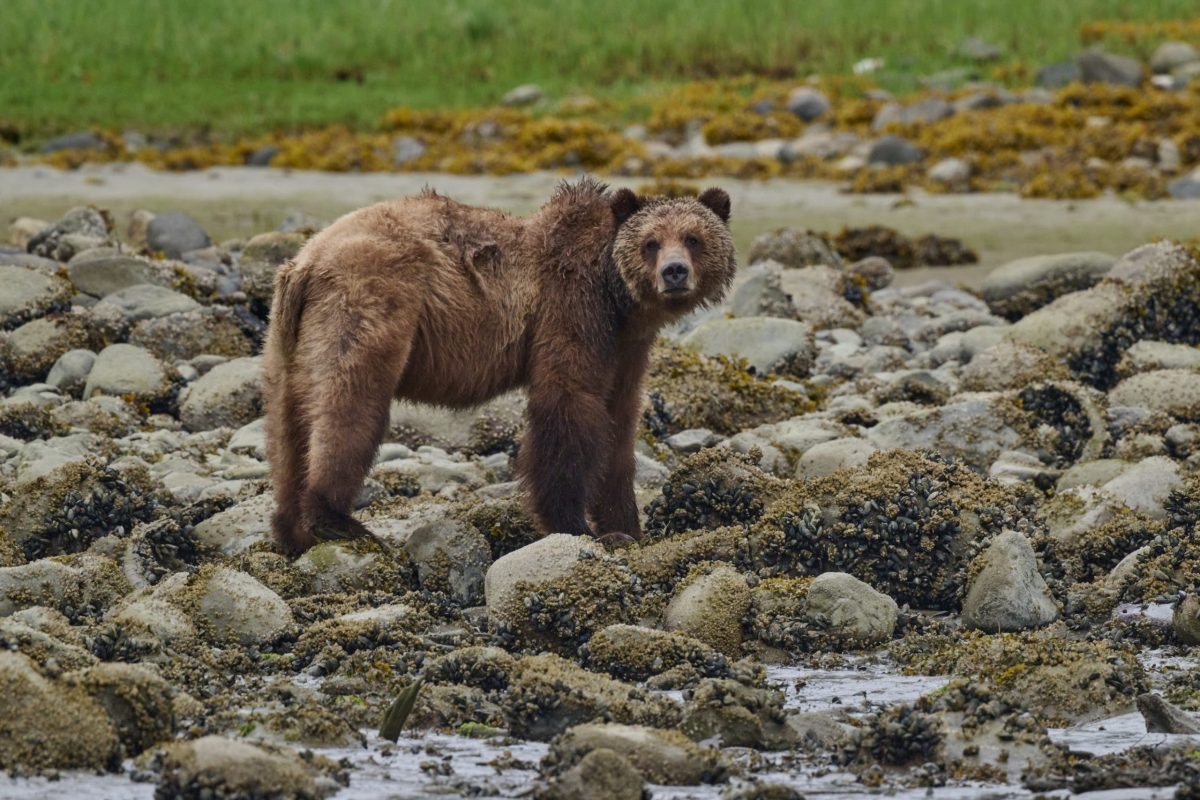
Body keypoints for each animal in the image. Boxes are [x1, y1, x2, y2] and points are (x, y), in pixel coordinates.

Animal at [263, 178, 736, 555]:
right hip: (370, 299)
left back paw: (291, 529)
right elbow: (567, 404)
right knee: (350, 406)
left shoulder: (626, 347)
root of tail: (307, 260)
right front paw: (573, 524)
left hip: (291, 336)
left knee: (288, 425)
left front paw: (627, 526)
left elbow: (619, 427)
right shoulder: (571, 307)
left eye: (693, 238)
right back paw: (338, 520)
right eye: (651, 242)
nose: (674, 272)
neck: (617, 296)